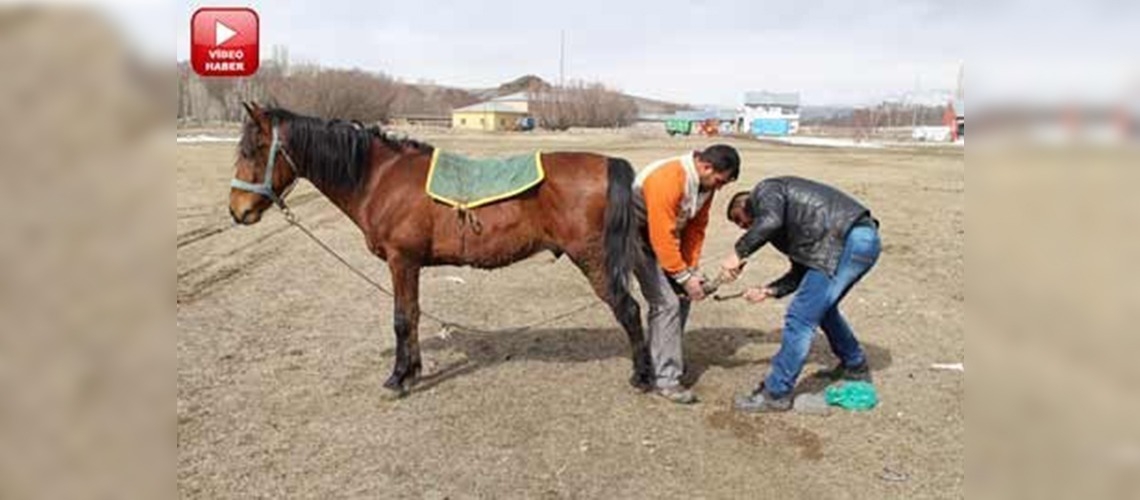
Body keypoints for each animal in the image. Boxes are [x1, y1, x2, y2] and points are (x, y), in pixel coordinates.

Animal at [228, 102, 651, 396]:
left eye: (253, 150)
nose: (237, 211)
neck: (380, 177)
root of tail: (608, 163)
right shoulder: (410, 264)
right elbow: (413, 316)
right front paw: (412, 370)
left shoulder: (402, 261)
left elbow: (402, 319)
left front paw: (398, 378)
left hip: (594, 261)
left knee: (630, 310)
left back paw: (642, 376)